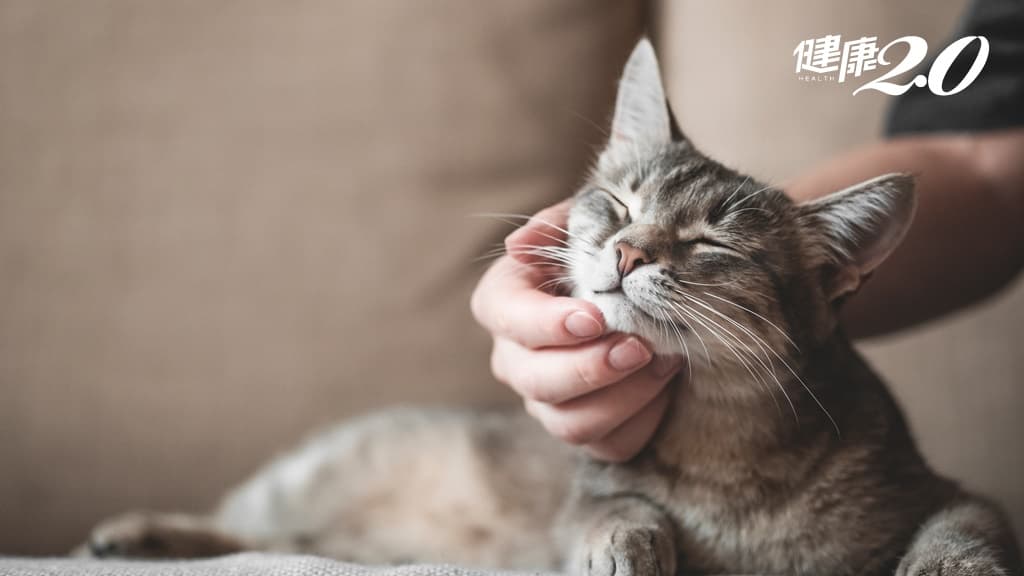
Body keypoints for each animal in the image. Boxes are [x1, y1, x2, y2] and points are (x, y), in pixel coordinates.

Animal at [83, 39, 1019, 573]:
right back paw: (140, 533)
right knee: (237, 524)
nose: (630, 252)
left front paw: (943, 567)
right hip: (300, 484)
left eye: (711, 244)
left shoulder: (952, 494)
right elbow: (610, 506)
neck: (720, 451)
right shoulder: (587, 492)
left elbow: (965, 533)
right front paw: (627, 540)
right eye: (619, 202)